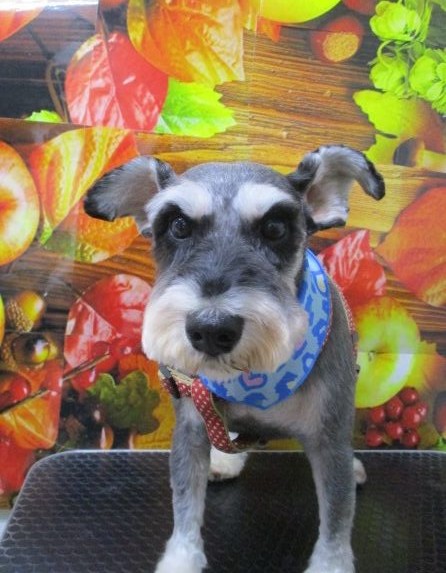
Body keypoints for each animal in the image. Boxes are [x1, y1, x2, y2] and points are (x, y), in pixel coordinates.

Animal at [84, 145, 384, 573]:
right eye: (178, 225)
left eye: (275, 228)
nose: (211, 329)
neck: (258, 378)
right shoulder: (191, 427)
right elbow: (185, 504)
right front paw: (182, 559)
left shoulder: (329, 439)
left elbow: (337, 516)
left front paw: (331, 564)